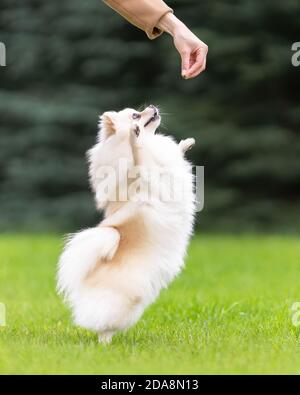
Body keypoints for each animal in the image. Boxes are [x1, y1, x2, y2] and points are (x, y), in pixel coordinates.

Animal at [57, 105, 196, 344]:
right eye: (135, 115)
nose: (152, 107)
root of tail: (86, 277)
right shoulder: (151, 178)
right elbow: (141, 158)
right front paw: (135, 138)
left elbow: (172, 153)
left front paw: (186, 143)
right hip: (119, 302)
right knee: (102, 326)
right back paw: (105, 345)